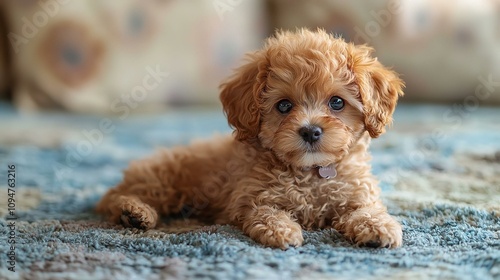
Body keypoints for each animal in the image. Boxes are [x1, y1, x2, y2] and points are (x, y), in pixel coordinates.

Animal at [95, 29, 404, 249]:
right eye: (283, 106)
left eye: (337, 102)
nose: (310, 131)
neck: (310, 173)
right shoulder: (249, 198)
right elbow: (265, 212)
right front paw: (282, 230)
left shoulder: (357, 193)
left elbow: (367, 209)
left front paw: (378, 228)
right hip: (162, 181)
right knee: (112, 198)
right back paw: (134, 212)